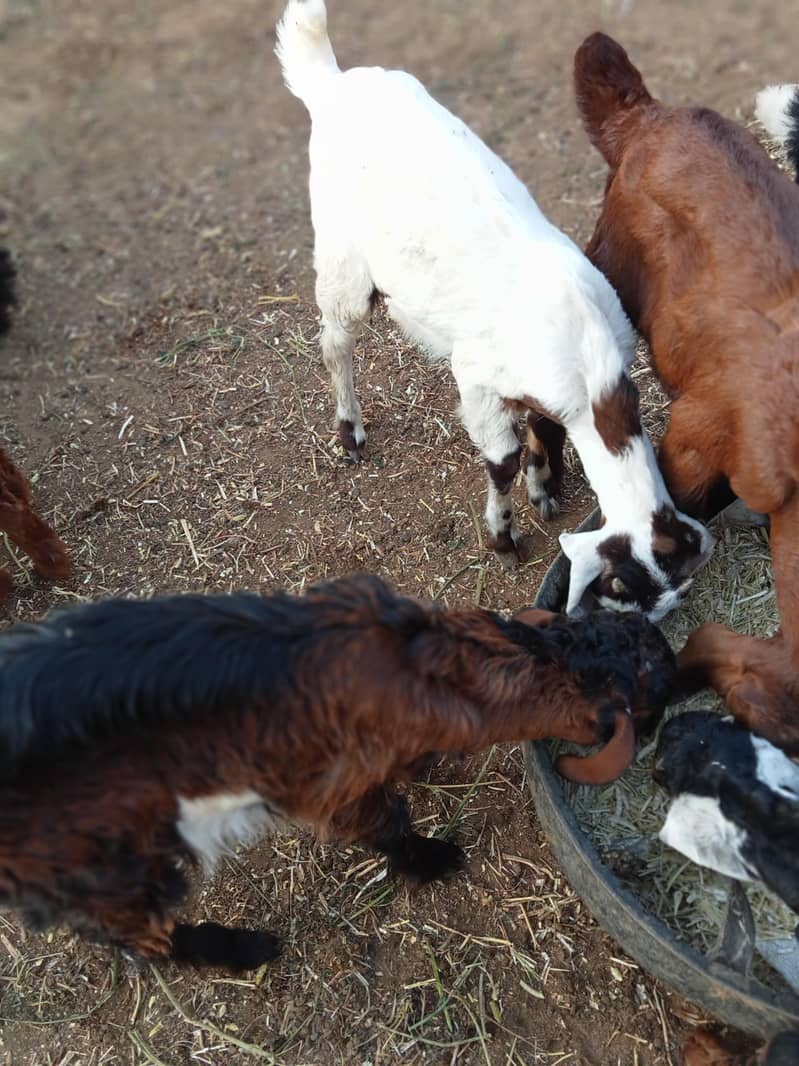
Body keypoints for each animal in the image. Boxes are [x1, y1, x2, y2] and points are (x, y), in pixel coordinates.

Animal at [0, 573, 675, 971]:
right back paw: (242, 950)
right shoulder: (333, 783)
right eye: (648, 703)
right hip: (103, 865)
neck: (427, 667)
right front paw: (431, 859)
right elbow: (387, 824)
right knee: (139, 935)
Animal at [275, 0, 711, 621]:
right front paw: (504, 535)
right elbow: (500, 458)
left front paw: (544, 484)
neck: (585, 357)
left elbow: (544, 425)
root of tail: (329, 82)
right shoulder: (477, 379)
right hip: (340, 252)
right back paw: (350, 432)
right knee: (336, 340)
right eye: (621, 591)